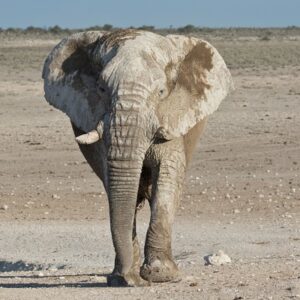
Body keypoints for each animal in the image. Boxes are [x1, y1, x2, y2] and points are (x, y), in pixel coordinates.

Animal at [42, 29, 233, 288]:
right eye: (102, 89)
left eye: (161, 92)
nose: (134, 280)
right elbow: (117, 186)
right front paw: (123, 277)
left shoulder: (171, 117)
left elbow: (167, 178)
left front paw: (161, 275)